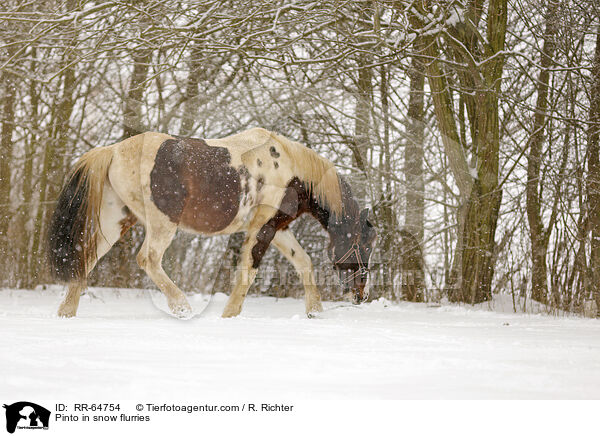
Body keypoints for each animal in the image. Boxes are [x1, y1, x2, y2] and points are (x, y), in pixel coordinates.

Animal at [48, 127, 376, 318]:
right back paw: (181, 307)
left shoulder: (278, 228)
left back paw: (66, 312)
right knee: (148, 259)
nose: (361, 295)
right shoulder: (263, 228)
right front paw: (229, 315)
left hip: (116, 220)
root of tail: (112, 151)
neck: (290, 171)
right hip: (162, 223)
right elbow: (248, 272)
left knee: (86, 256)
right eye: (364, 245)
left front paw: (315, 312)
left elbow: (303, 262)